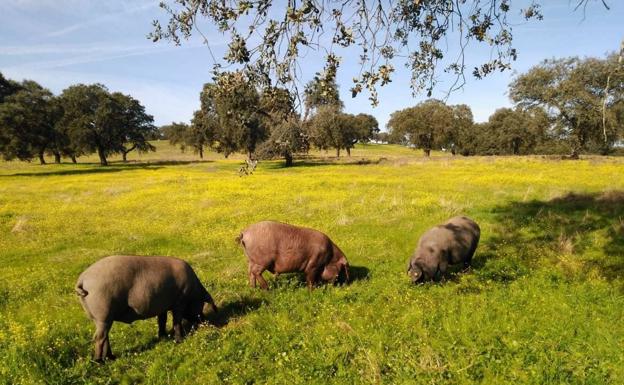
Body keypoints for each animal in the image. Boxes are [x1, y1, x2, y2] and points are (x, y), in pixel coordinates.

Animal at [75, 255, 218, 360]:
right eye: (201, 304)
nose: (205, 321)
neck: (193, 291)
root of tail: (82, 279)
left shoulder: (163, 306)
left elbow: (162, 321)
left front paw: (163, 337)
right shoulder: (179, 302)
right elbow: (176, 321)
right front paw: (179, 340)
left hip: (98, 317)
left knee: (104, 336)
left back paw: (111, 357)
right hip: (103, 313)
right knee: (99, 337)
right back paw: (99, 361)